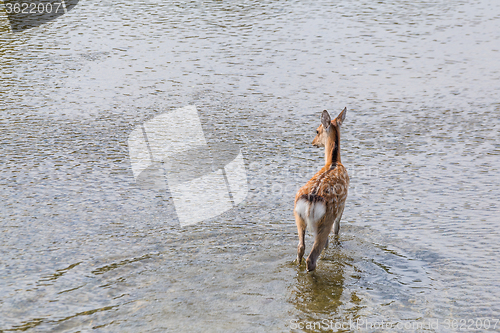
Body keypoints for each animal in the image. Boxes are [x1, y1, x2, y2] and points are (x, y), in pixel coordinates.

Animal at [292, 107, 348, 272]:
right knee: (312, 256)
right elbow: (337, 227)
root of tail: (310, 201)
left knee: (301, 247)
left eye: (317, 131)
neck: (334, 161)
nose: (313, 143)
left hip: (298, 216)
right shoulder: (343, 205)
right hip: (326, 219)